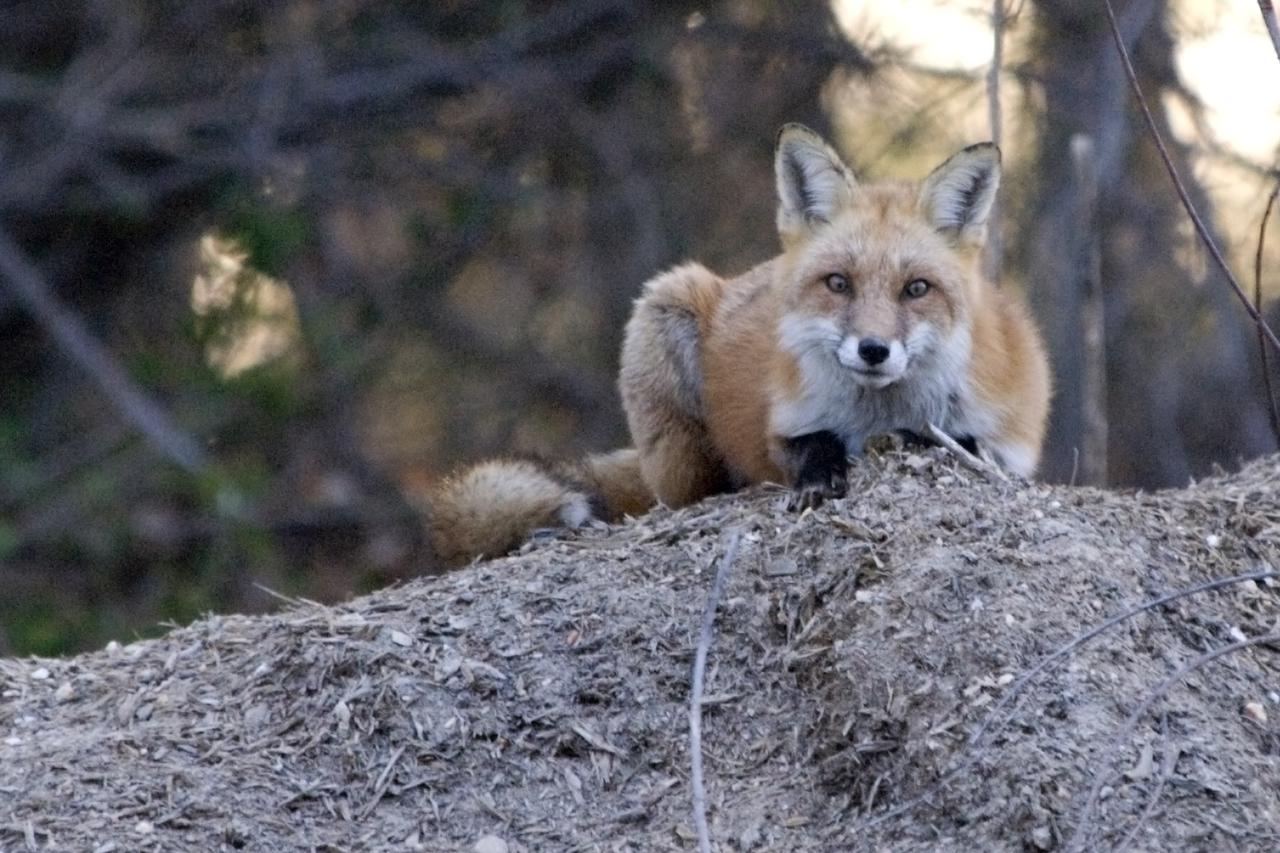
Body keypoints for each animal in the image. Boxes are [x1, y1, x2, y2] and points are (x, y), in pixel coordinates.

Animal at [428, 124, 1050, 565]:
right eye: (839, 283)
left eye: (916, 289)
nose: (873, 350)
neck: (878, 412)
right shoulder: (782, 426)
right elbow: (810, 444)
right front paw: (820, 476)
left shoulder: (1013, 442)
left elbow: (963, 443)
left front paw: (911, 439)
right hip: (668, 317)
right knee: (687, 494)